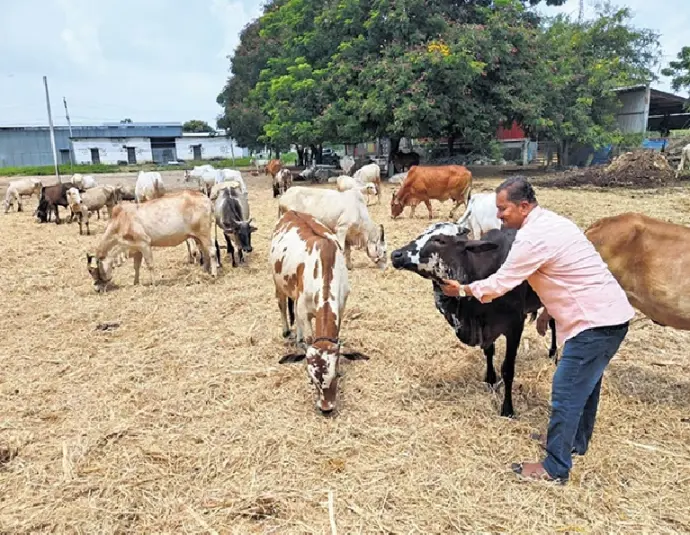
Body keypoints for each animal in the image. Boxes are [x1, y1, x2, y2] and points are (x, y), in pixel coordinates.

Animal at [86, 190, 217, 291]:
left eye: (92, 271)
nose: (97, 289)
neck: (121, 222)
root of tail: (206, 198)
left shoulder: (144, 244)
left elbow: (150, 265)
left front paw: (153, 283)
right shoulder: (136, 248)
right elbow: (136, 266)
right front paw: (136, 282)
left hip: (204, 233)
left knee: (212, 251)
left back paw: (214, 273)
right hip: (197, 237)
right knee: (204, 251)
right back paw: (205, 271)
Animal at [270, 210, 369, 414]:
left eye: (337, 373)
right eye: (311, 377)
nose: (326, 408)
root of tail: (290, 212)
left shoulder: (341, 305)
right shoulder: (303, 309)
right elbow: (308, 337)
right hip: (278, 282)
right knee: (282, 305)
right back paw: (287, 331)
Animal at [391, 222, 557, 418]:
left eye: (440, 240)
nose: (396, 254)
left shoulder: (515, 326)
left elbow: (508, 369)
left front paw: (507, 409)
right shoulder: (485, 327)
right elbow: (489, 352)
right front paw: (490, 379)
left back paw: (554, 354)